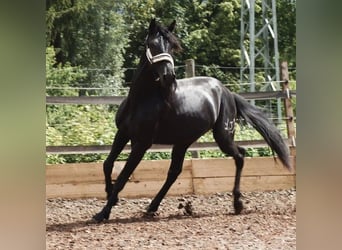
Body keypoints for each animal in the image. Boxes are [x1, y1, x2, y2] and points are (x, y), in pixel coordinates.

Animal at [92, 19, 290, 223]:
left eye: (172, 47)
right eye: (152, 44)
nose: (169, 77)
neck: (140, 100)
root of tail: (227, 92)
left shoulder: (141, 144)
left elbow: (123, 177)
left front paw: (103, 213)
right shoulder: (123, 133)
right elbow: (107, 164)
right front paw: (110, 196)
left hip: (222, 136)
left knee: (240, 156)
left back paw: (237, 204)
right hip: (183, 142)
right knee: (175, 172)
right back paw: (152, 207)